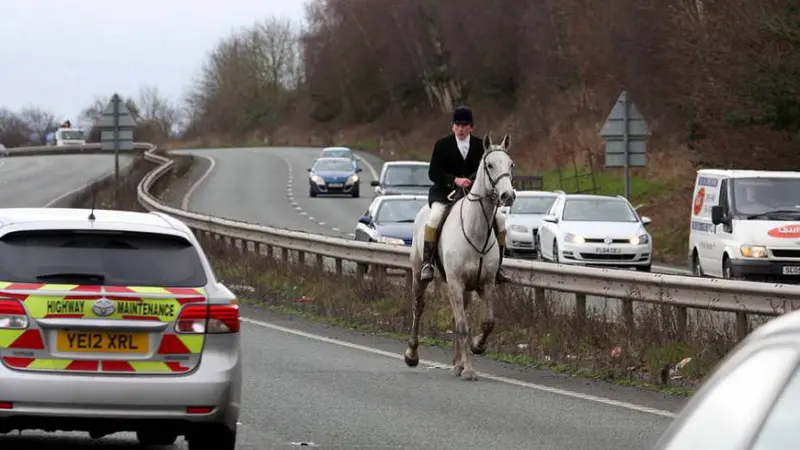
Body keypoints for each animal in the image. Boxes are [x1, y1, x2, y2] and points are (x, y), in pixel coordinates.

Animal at [406, 133, 512, 380]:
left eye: (511, 164)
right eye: (490, 165)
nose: (508, 196)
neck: (476, 229)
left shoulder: (485, 283)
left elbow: (487, 322)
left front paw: (477, 347)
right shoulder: (455, 282)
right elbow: (463, 326)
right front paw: (470, 369)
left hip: (463, 289)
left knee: (457, 315)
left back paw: (457, 364)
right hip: (420, 276)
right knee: (418, 307)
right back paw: (412, 355)